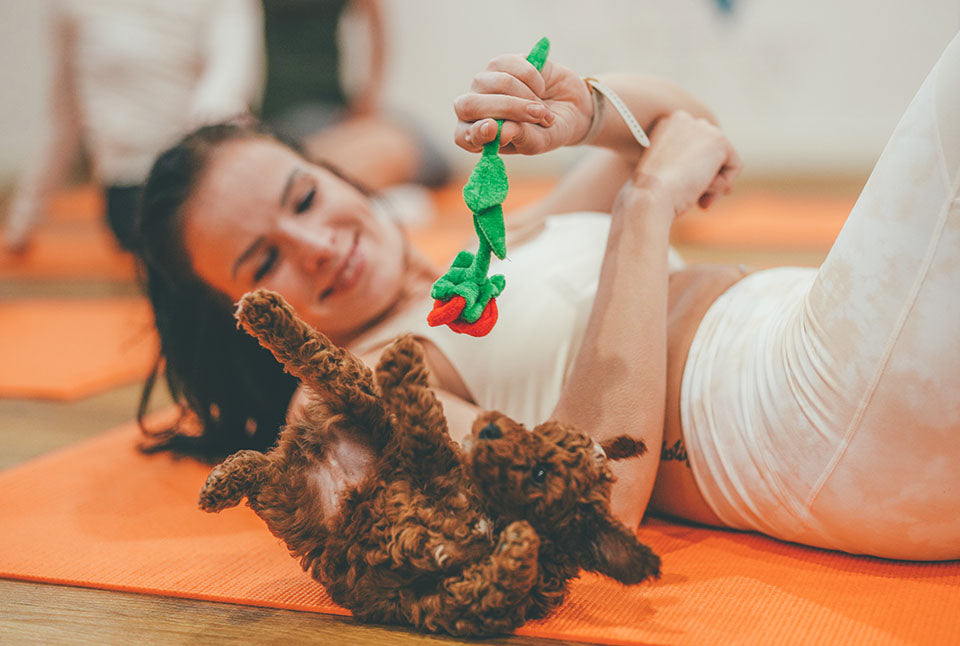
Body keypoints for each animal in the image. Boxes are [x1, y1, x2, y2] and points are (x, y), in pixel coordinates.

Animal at [198, 290, 656, 636]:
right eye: (532, 430)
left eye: (541, 473)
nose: (490, 428)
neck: (487, 513)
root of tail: (311, 445)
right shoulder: (430, 467)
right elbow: (428, 427)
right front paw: (406, 364)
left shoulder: (462, 602)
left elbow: (500, 579)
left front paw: (521, 542)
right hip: (369, 410)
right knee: (322, 358)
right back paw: (267, 311)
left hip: (292, 497)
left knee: (264, 464)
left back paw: (223, 482)